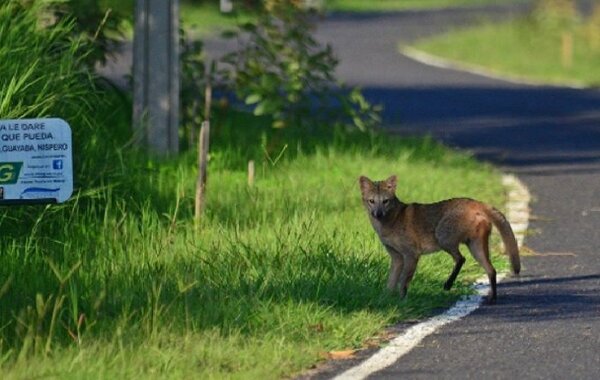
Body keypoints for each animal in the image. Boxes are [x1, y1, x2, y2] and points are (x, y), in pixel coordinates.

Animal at [356, 174, 520, 302]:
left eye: (385, 201)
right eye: (371, 201)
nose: (378, 214)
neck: (392, 221)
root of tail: (475, 202)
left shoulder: (411, 254)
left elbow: (403, 281)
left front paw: (402, 302)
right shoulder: (396, 257)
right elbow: (390, 283)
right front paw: (385, 301)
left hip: (443, 239)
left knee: (461, 259)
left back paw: (448, 284)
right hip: (475, 248)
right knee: (491, 270)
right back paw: (492, 298)